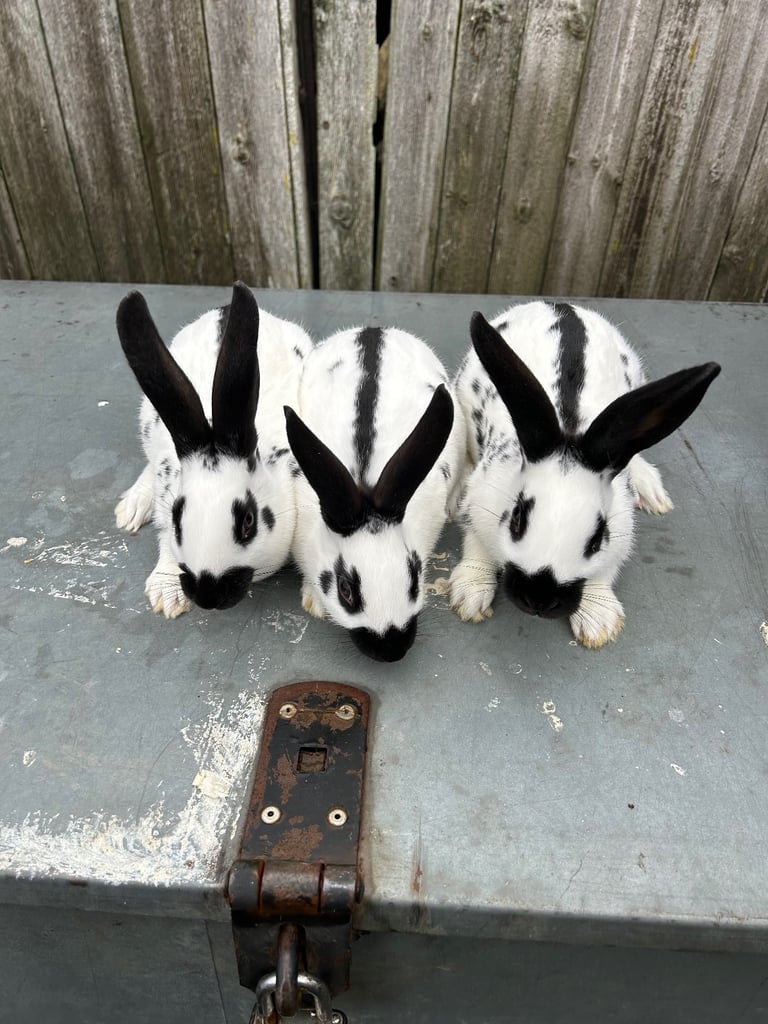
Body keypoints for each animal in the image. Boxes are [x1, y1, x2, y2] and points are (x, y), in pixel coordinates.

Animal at [114, 281, 312, 618]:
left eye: (248, 522)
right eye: (178, 518)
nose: (207, 597)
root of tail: (224, 308)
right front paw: (166, 596)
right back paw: (131, 508)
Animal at [449, 301, 721, 648]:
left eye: (596, 539)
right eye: (516, 520)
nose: (538, 600)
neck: (571, 428)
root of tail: (560, 306)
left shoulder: (619, 534)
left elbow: (603, 573)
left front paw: (599, 623)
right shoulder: (480, 504)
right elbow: (477, 548)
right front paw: (470, 596)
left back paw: (650, 490)